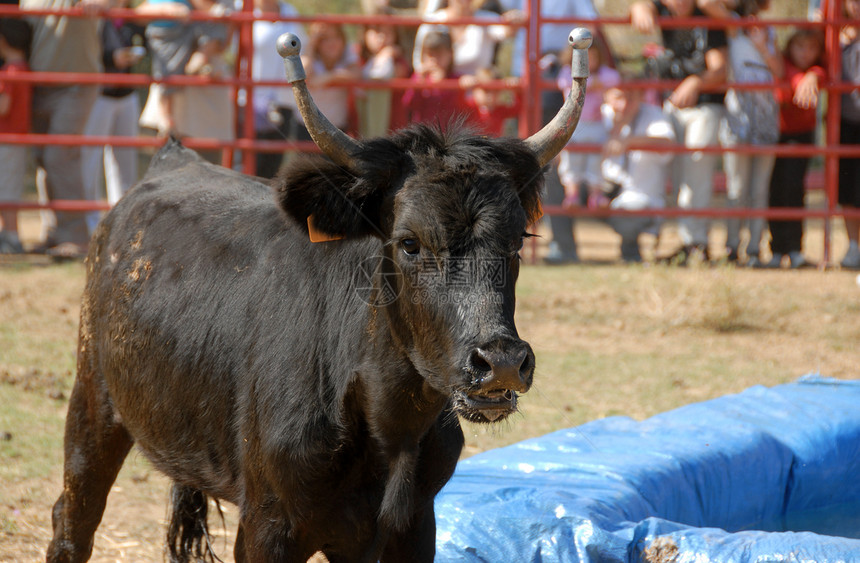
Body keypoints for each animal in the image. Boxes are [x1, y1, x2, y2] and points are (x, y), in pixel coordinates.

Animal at [45, 129, 544, 563]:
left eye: (518, 239)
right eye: (409, 242)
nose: (500, 362)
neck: (388, 428)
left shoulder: (415, 524)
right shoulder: (268, 526)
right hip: (93, 400)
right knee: (73, 518)